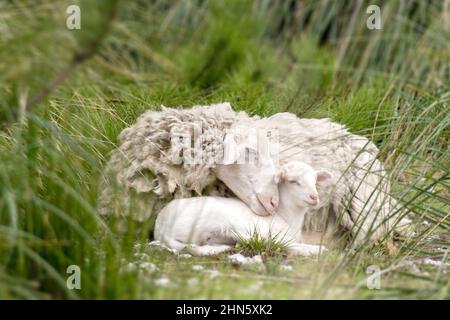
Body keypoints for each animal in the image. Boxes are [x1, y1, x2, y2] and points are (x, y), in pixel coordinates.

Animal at [153, 161, 332, 256]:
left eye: (315, 180)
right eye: (293, 181)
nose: (314, 197)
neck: (286, 216)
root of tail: (161, 227)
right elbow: (281, 241)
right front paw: (316, 249)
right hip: (218, 218)